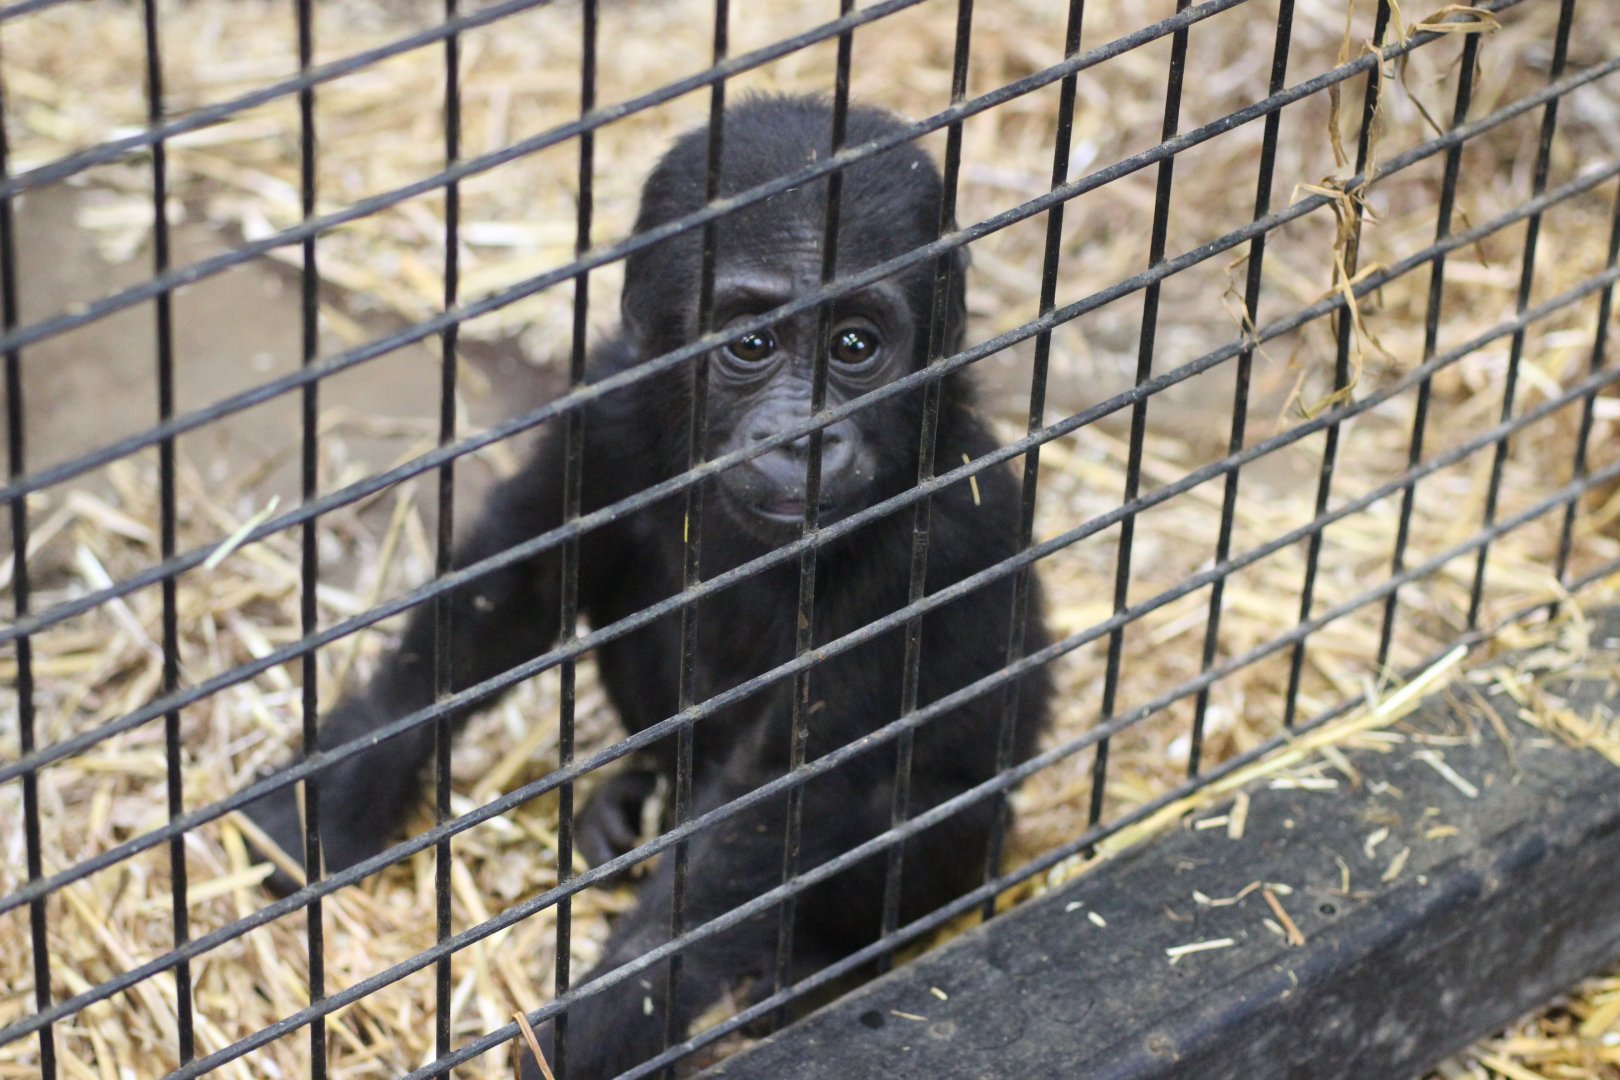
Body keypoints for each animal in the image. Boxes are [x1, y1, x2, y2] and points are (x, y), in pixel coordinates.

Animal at [242, 94, 1051, 1078]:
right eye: (752, 342)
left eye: (857, 344)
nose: (807, 436)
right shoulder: (608, 409)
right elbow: (506, 590)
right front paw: (319, 810)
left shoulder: (944, 533)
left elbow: (776, 806)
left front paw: (589, 1029)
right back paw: (624, 804)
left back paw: (817, 969)